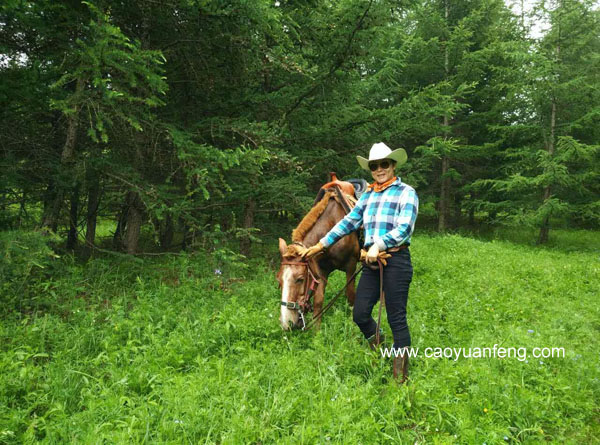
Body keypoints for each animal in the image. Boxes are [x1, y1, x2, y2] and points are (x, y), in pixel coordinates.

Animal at [276, 173, 366, 330]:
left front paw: (352, 325)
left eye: (300, 279)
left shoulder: (351, 266)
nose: (286, 323)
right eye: (278, 280)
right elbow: (318, 301)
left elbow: (350, 297)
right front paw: (316, 331)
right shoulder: (320, 270)